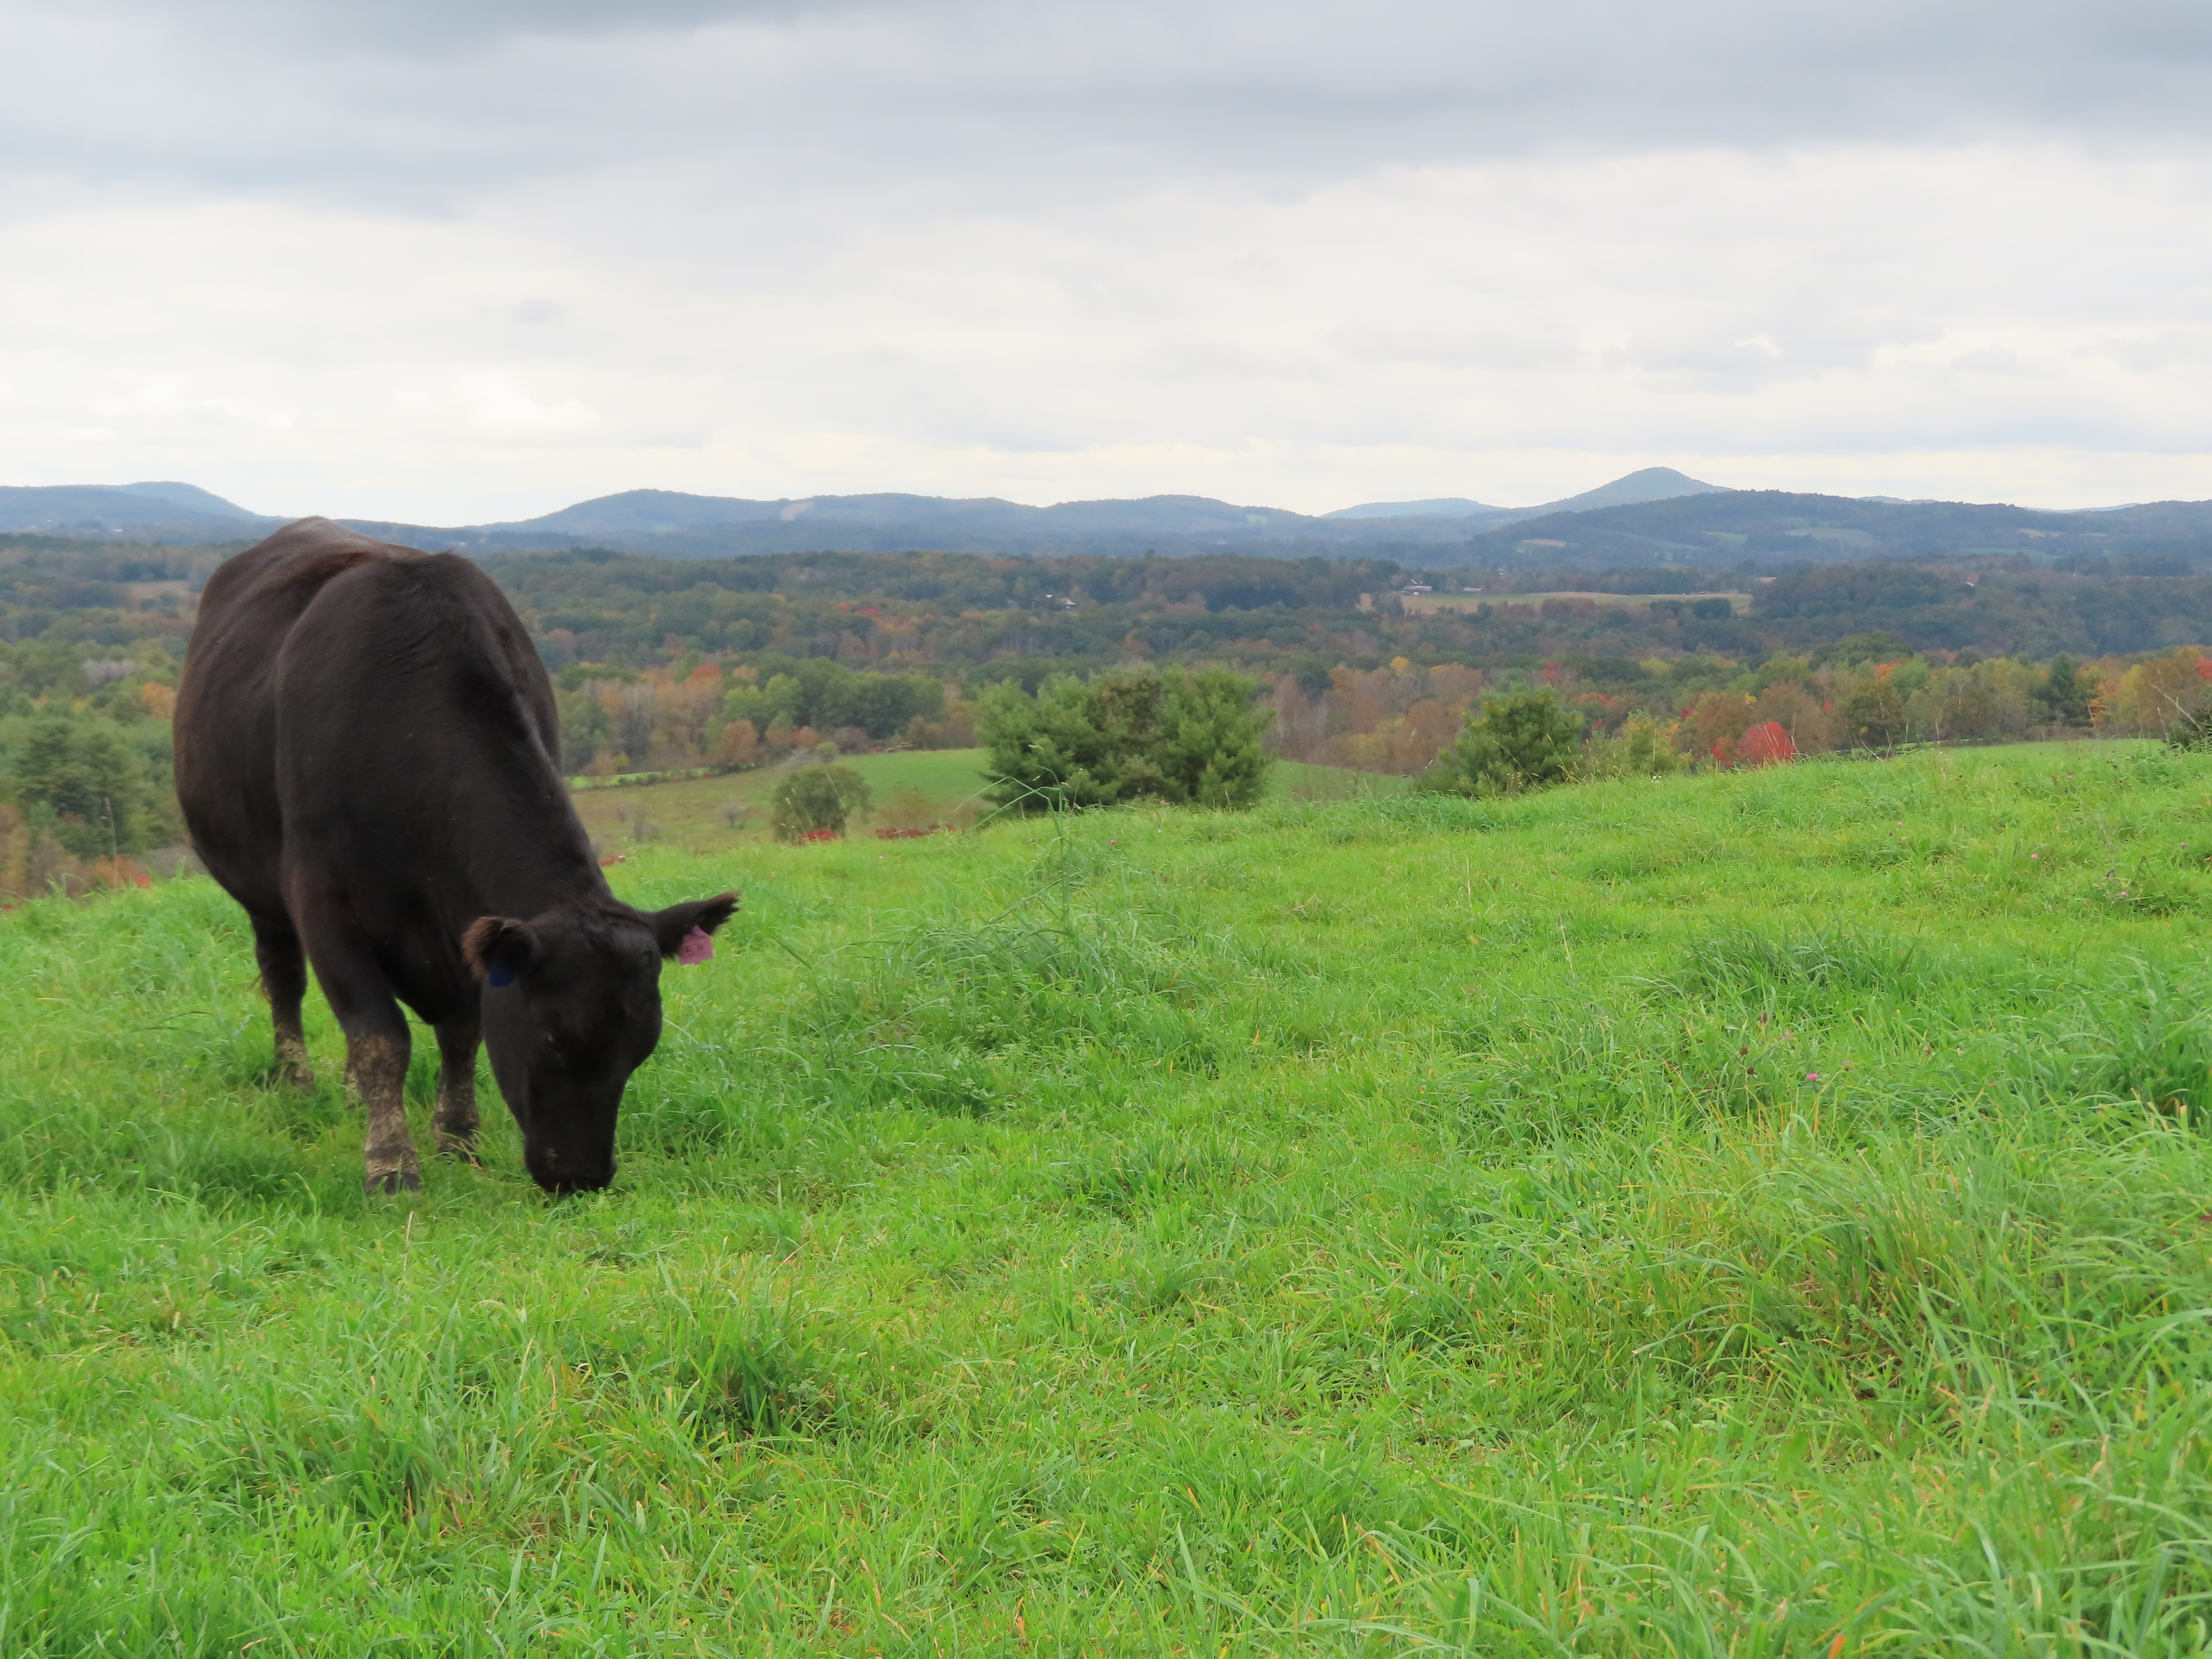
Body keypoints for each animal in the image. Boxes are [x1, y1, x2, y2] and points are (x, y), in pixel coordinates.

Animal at [174, 518, 736, 1195]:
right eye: (553, 1038)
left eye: (640, 1048)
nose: (583, 1177)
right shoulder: (321, 898)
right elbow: (379, 1035)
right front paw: (392, 1165)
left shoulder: (467, 930)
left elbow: (462, 1033)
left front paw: (458, 1138)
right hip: (262, 895)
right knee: (284, 976)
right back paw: (298, 1081)